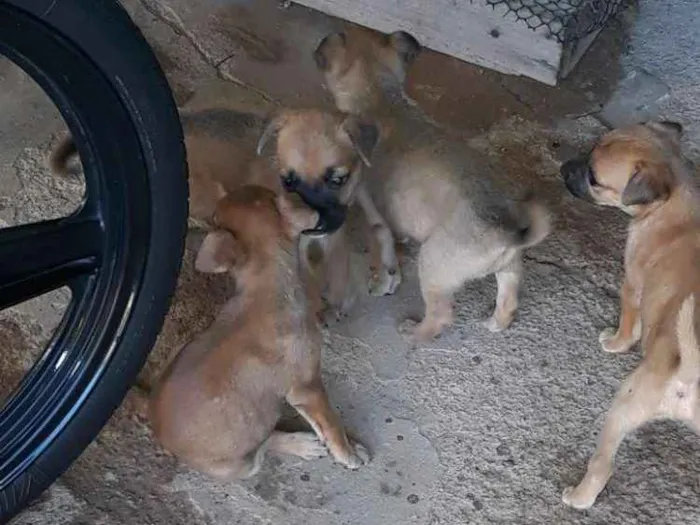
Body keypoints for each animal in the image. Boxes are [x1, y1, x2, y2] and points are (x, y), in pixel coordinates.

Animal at [150, 185, 370, 478]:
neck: (266, 284)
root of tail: (158, 432)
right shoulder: (307, 388)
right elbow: (332, 423)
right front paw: (349, 452)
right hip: (243, 464)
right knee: (265, 444)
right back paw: (301, 444)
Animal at [314, 28, 552, 342]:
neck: (382, 96)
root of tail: (508, 232)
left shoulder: (374, 214)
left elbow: (383, 248)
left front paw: (383, 281)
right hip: (509, 267)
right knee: (508, 300)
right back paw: (495, 322)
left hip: (432, 265)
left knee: (440, 315)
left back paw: (414, 332)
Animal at [556, 119, 700, 508]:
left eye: (594, 177)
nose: (562, 167)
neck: (674, 195)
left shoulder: (632, 284)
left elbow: (628, 325)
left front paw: (614, 341)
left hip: (624, 404)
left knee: (602, 464)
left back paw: (579, 496)